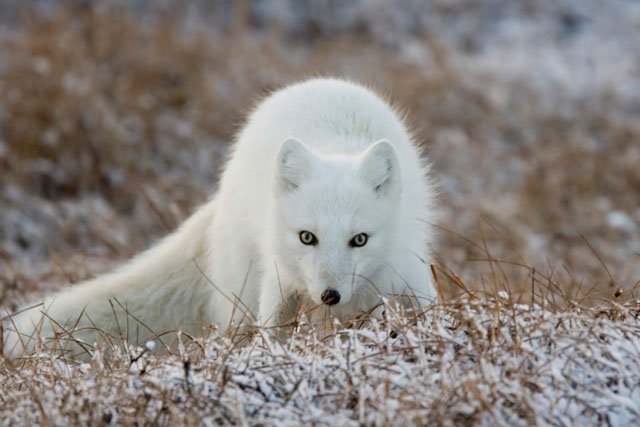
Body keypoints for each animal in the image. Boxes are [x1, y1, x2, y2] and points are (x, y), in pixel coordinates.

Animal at [2, 77, 438, 358]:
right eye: (307, 237)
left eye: (359, 240)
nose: (329, 295)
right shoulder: (279, 278)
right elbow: (272, 330)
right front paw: (271, 361)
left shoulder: (406, 271)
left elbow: (426, 310)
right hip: (244, 286)